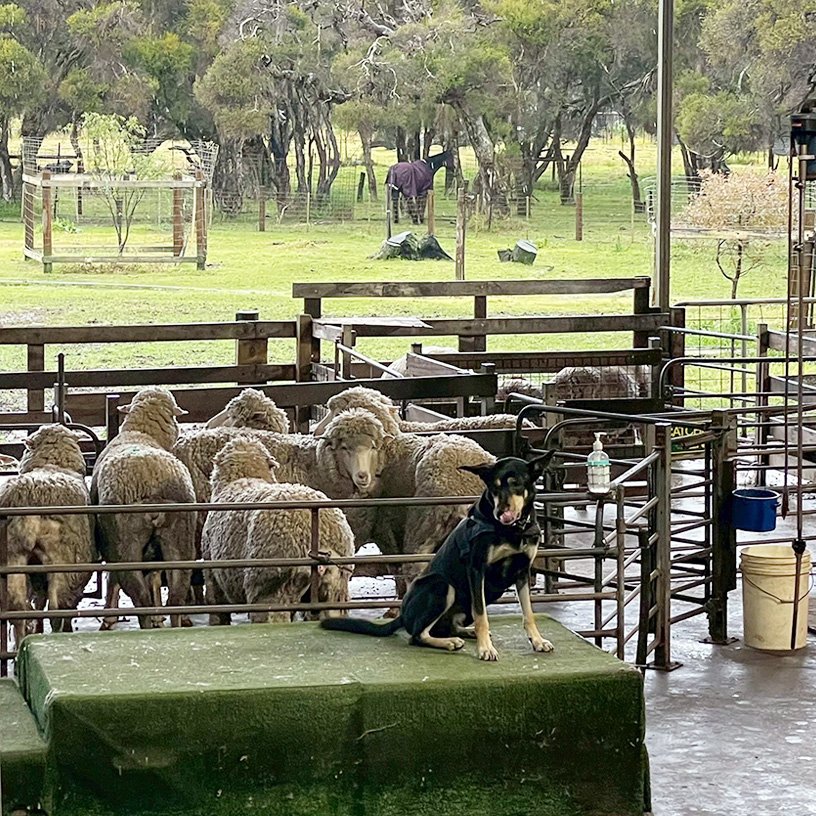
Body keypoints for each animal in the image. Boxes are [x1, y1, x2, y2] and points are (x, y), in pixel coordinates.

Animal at [0, 425, 94, 647]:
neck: (52, 464)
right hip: (63, 562)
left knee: (18, 609)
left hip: (12, 559)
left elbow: (39, 600)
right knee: (57, 608)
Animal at [91, 387, 196, 629]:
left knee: (140, 597)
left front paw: (108, 618)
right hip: (180, 540)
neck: (140, 433)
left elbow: (112, 580)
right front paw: (159, 617)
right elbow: (155, 578)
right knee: (176, 596)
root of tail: (151, 480)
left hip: (125, 545)